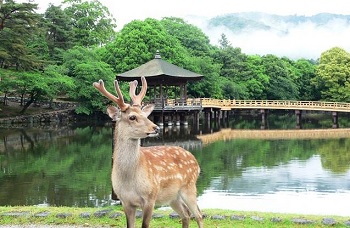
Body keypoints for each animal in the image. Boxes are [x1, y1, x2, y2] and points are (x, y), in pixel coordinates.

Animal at [93, 77, 204, 228]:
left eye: (145, 115)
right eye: (132, 117)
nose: (156, 127)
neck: (129, 180)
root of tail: (195, 161)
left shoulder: (150, 197)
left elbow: (145, 225)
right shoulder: (125, 201)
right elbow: (130, 225)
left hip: (189, 186)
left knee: (199, 214)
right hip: (173, 197)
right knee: (186, 214)